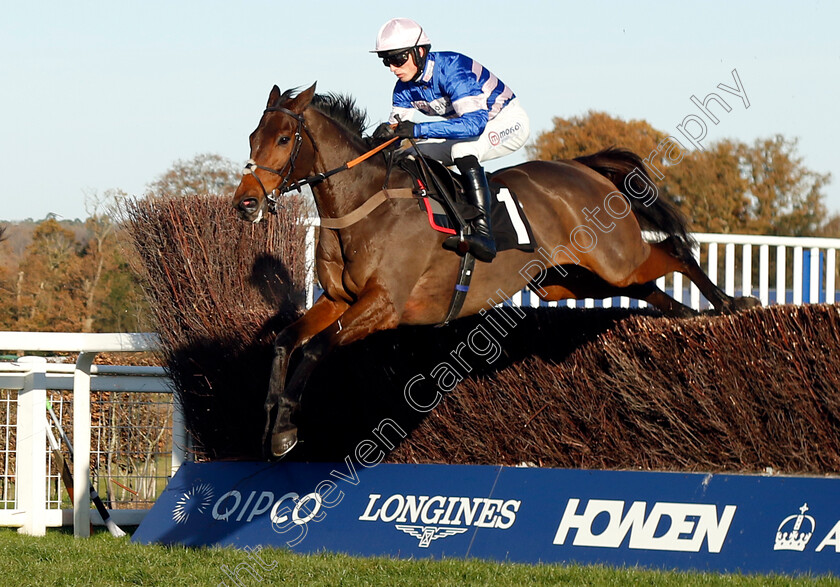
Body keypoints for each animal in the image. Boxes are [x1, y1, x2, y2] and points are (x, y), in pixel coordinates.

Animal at [233, 84, 756, 460]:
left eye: (284, 139)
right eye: (253, 138)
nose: (246, 203)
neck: (365, 205)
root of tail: (583, 169)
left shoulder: (383, 305)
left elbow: (316, 348)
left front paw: (285, 430)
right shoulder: (339, 300)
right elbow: (285, 340)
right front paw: (270, 418)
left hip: (615, 259)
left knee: (672, 251)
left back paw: (730, 303)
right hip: (566, 280)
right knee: (650, 289)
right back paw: (690, 316)